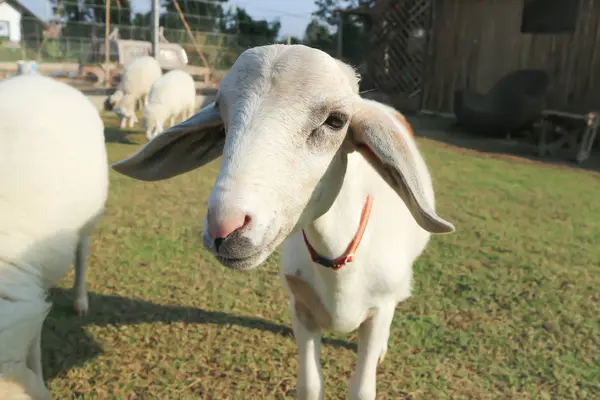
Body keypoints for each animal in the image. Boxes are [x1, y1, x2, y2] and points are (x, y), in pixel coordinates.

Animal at [110, 44, 454, 400]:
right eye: (222, 117)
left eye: (337, 120)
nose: (224, 228)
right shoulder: (300, 308)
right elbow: (309, 385)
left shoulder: (378, 310)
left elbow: (362, 389)